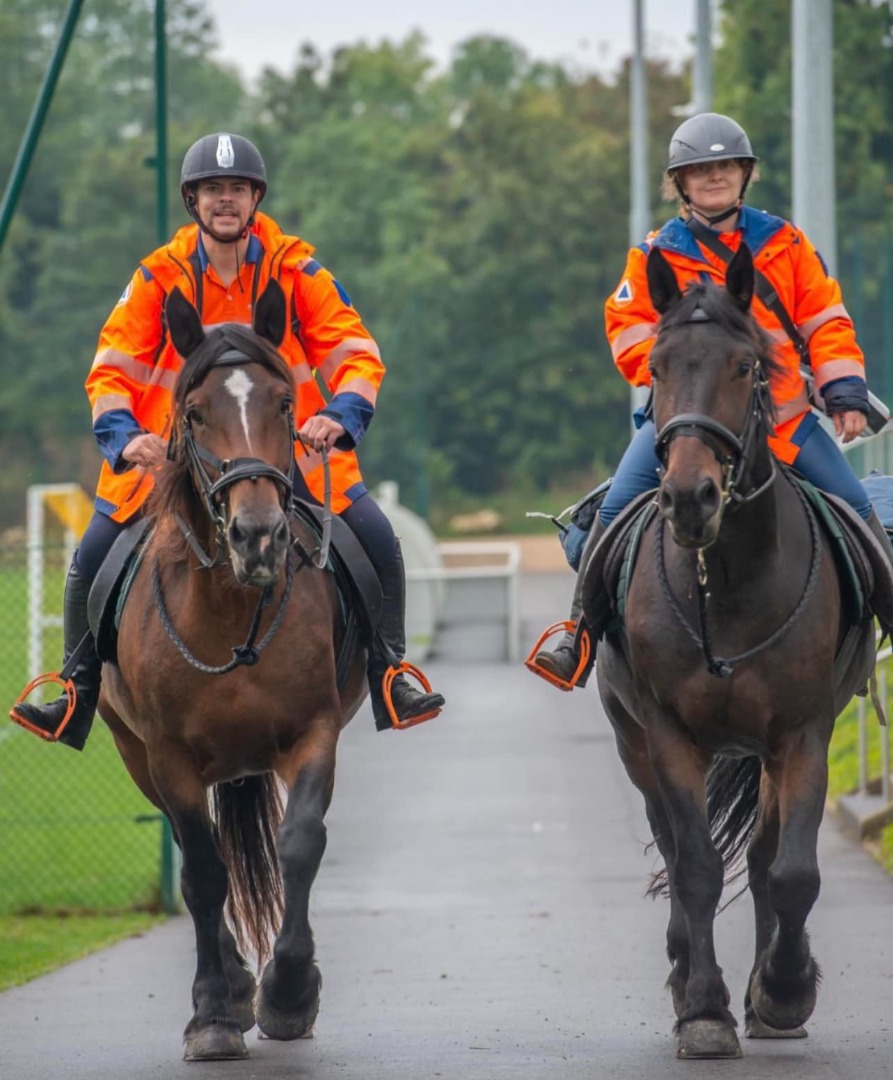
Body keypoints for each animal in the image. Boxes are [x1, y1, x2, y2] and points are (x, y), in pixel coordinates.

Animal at [97, 280, 362, 1062]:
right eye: (193, 412)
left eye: (283, 403)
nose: (258, 537)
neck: (229, 606)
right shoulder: (168, 757)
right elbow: (205, 872)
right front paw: (216, 1010)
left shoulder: (314, 732)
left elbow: (300, 845)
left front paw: (289, 993)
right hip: (138, 758)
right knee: (198, 860)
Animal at [587, 240, 881, 1058]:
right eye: (656, 367)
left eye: (746, 366)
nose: (690, 499)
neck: (724, 579)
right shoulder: (667, 733)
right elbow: (694, 866)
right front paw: (704, 1009)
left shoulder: (802, 732)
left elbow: (790, 872)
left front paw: (781, 991)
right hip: (631, 741)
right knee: (676, 844)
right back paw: (685, 971)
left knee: (762, 857)